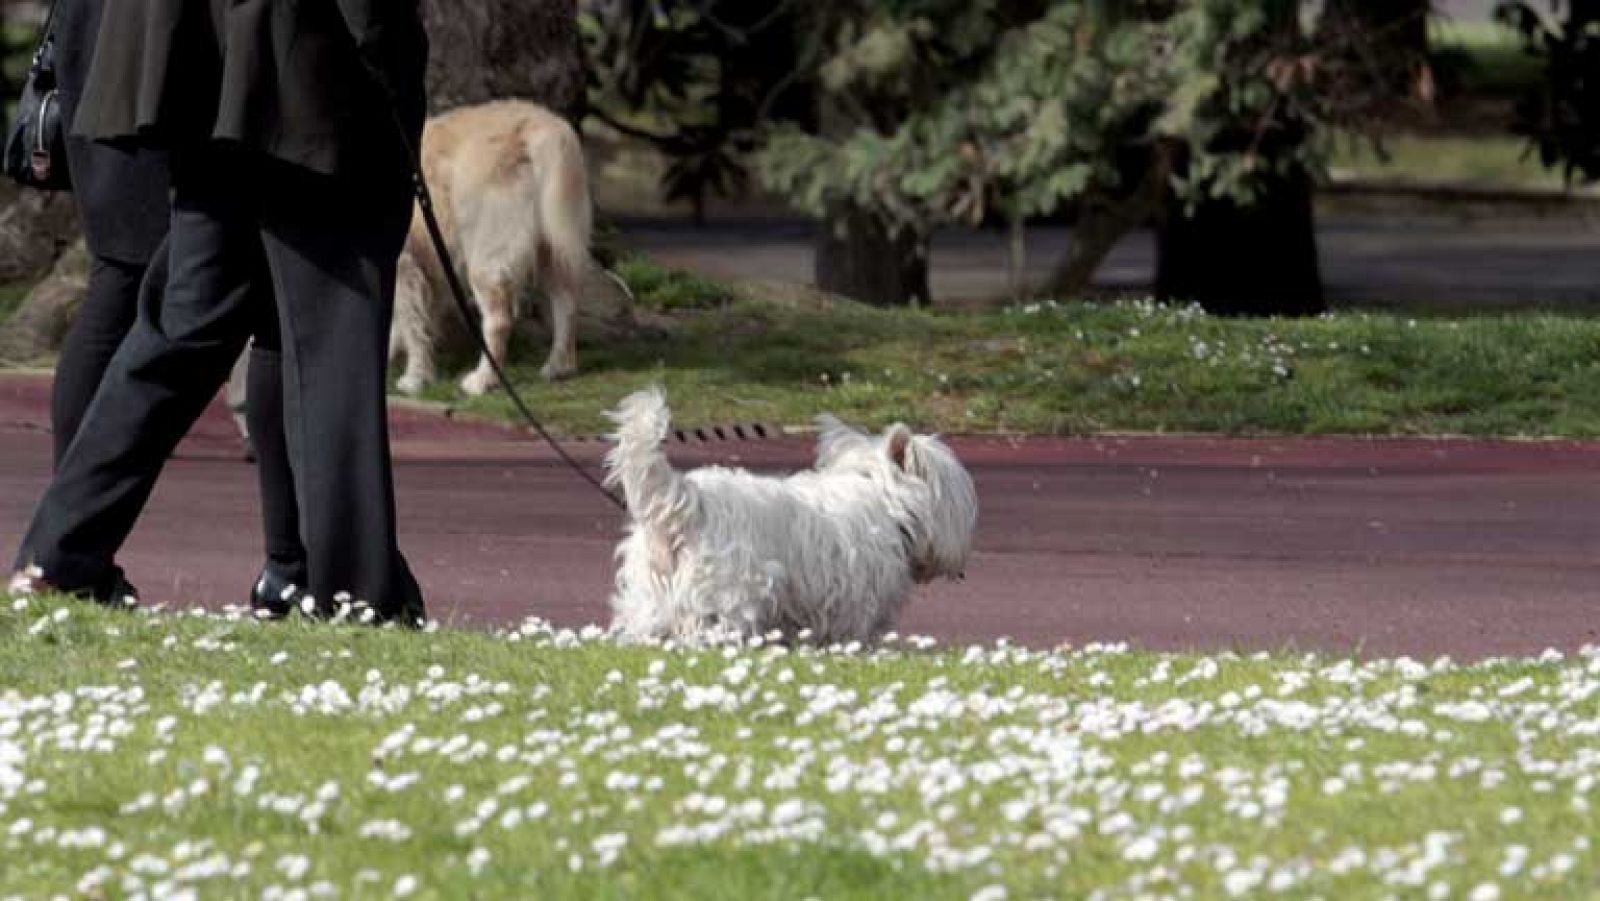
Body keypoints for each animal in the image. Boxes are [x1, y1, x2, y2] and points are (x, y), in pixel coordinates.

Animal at [388, 98, 595, 395]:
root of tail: (535, 125)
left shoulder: (404, 263)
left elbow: (410, 321)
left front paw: (415, 378)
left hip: (486, 255)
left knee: (499, 320)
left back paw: (482, 380)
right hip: (551, 247)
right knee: (566, 304)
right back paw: (558, 367)